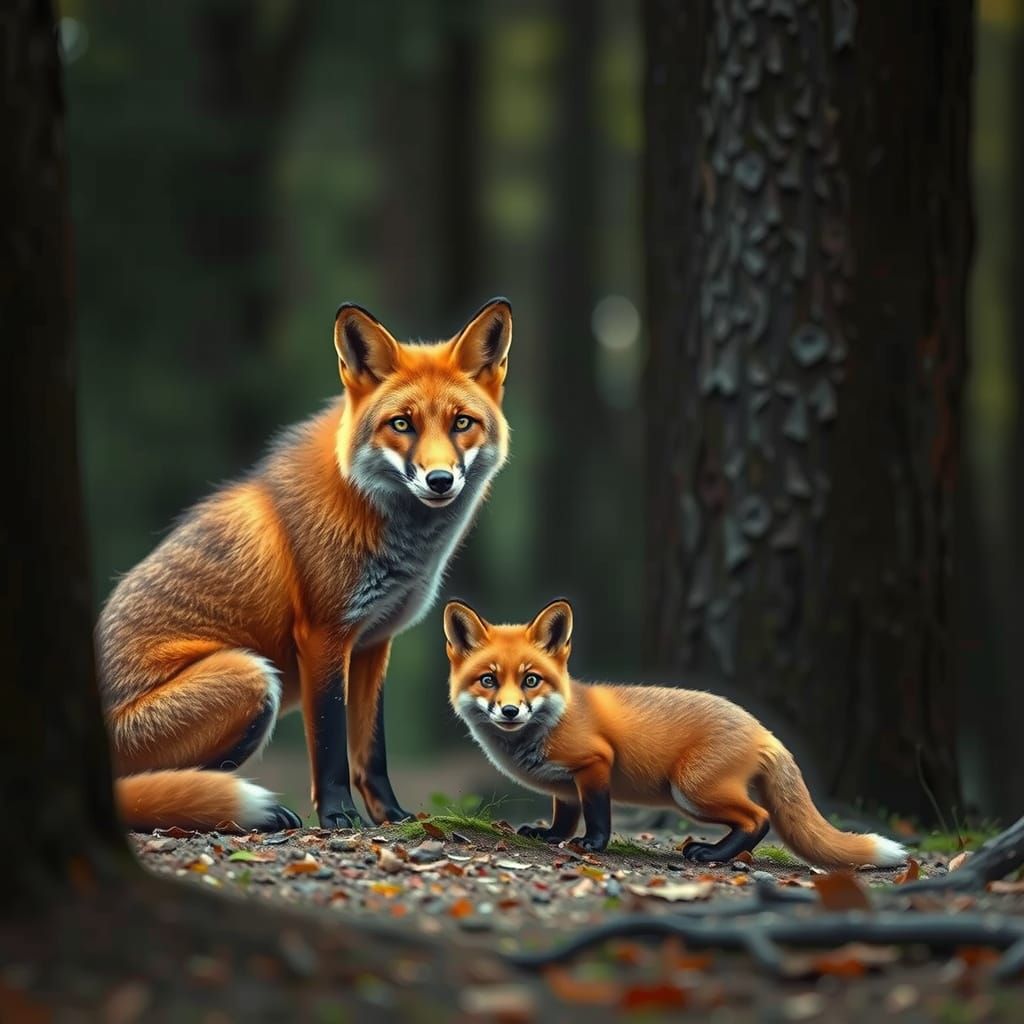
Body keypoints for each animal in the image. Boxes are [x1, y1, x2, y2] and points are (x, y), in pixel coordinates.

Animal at [98, 299, 513, 833]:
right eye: (402, 424)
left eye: (462, 423)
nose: (440, 480)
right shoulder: (324, 634)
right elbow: (331, 744)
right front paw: (338, 815)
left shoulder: (373, 642)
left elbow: (370, 751)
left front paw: (391, 816)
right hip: (252, 676)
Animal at [443, 599, 908, 869]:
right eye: (488, 680)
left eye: (531, 680)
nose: (509, 710)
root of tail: (763, 729)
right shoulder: (564, 786)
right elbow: (565, 816)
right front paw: (553, 836)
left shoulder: (596, 763)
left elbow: (597, 814)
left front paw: (592, 844)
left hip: (691, 789)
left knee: (759, 818)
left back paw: (713, 854)